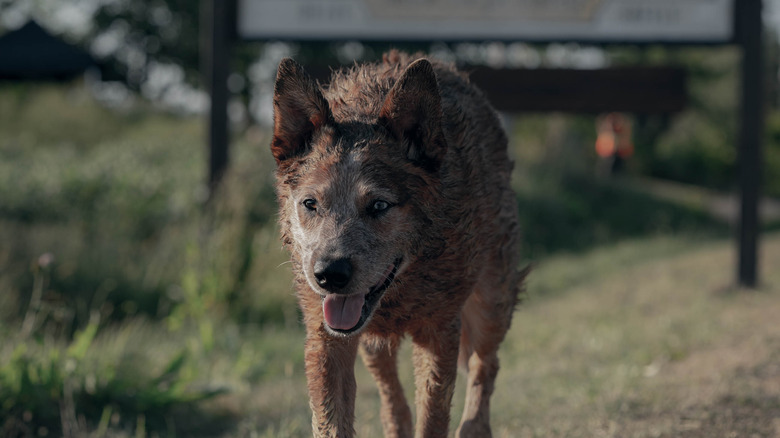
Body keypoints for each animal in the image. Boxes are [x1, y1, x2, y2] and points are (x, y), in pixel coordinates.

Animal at [272, 52, 528, 438]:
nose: (328, 274)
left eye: (379, 205)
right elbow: (332, 420)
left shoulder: (439, 330)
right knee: (389, 385)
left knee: (486, 363)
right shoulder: (325, 336)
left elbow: (434, 416)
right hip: (371, 342)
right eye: (310, 204)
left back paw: (474, 427)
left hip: (492, 302)